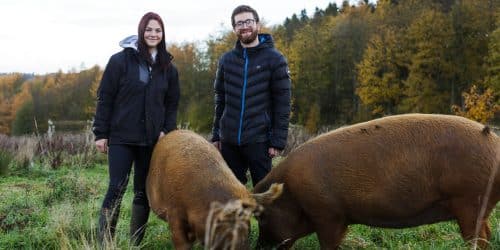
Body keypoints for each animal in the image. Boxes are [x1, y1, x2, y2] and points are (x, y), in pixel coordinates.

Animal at [254, 114, 500, 249]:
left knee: (479, 239)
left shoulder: (327, 214)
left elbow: (329, 243)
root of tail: (495, 142)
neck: (293, 194)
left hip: (470, 199)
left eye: (262, 216)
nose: (259, 246)